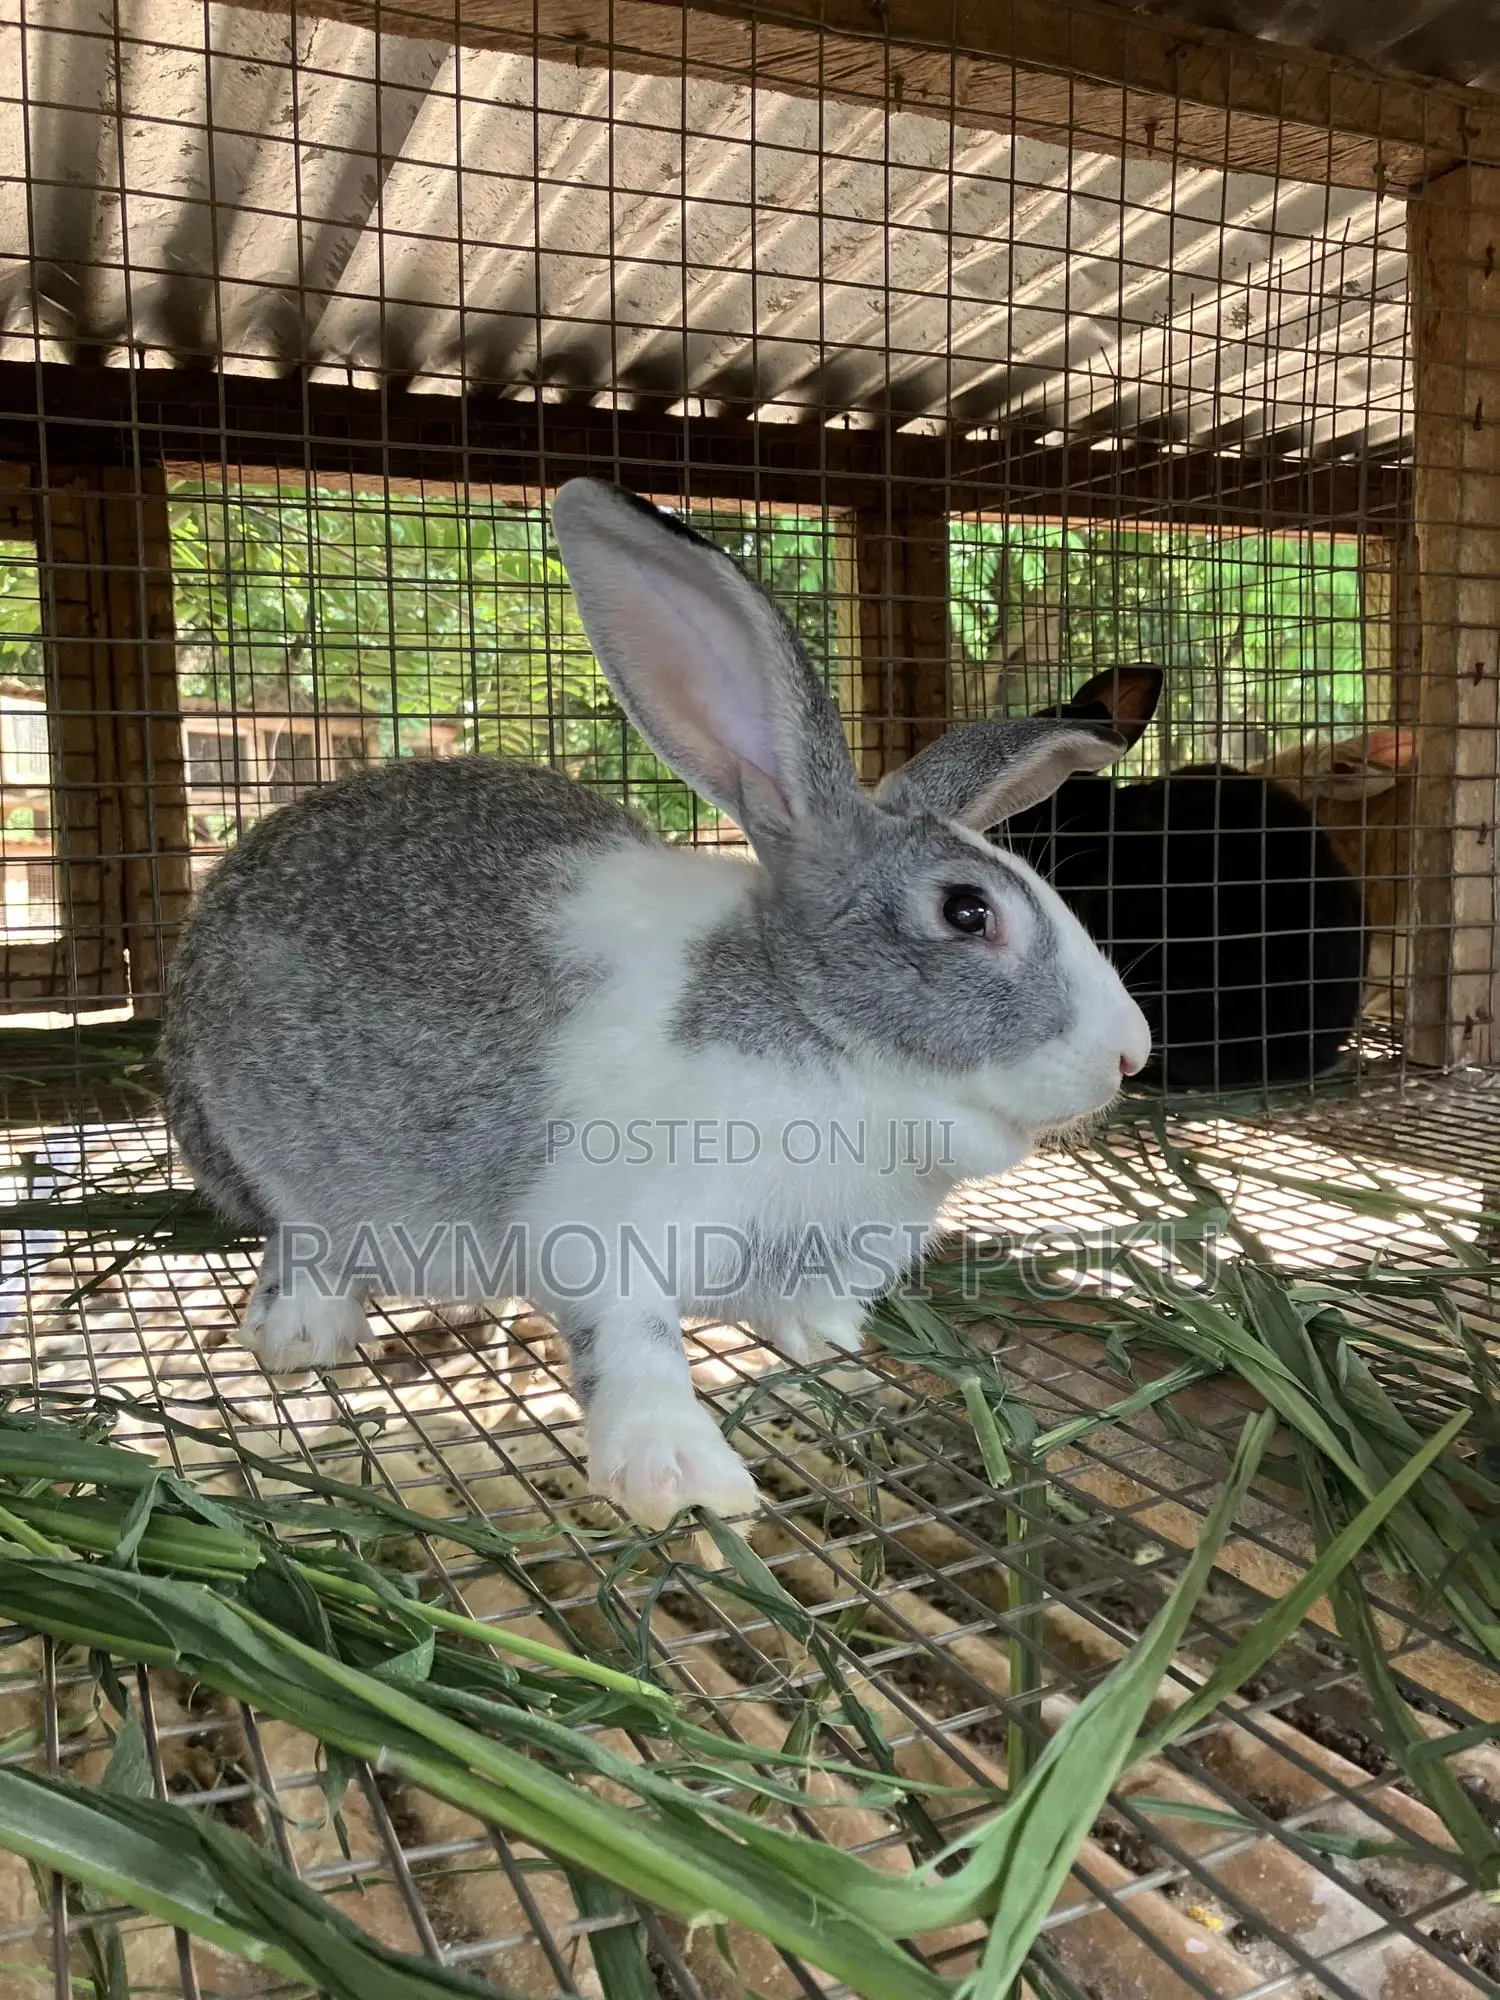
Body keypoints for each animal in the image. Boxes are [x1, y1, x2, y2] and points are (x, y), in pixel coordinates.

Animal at [161, 481, 1150, 1529]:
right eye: (967, 912)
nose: (1131, 1052)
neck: (824, 1040)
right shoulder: (603, 1230)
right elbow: (633, 1342)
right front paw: (680, 1478)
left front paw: (830, 1341)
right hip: (270, 1155)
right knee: (299, 1234)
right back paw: (302, 1332)